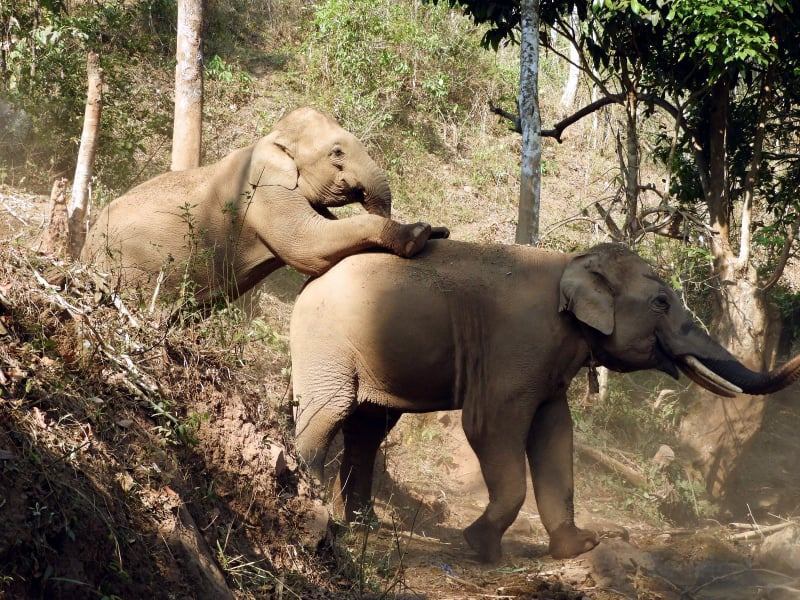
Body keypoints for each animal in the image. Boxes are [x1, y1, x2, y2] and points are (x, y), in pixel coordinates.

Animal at [80, 106, 446, 304]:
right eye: (337, 152)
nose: (437, 229)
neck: (269, 139)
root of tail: (83, 251)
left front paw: (437, 231)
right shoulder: (266, 189)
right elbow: (308, 247)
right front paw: (419, 234)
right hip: (132, 267)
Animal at [290, 239, 800, 564]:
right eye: (661, 302)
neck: (571, 263)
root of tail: (308, 281)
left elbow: (556, 432)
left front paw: (581, 546)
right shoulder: (520, 342)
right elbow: (489, 424)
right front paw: (481, 545)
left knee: (369, 428)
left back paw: (365, 526)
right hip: (325, 341)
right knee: (328, 413)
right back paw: (318, 513)